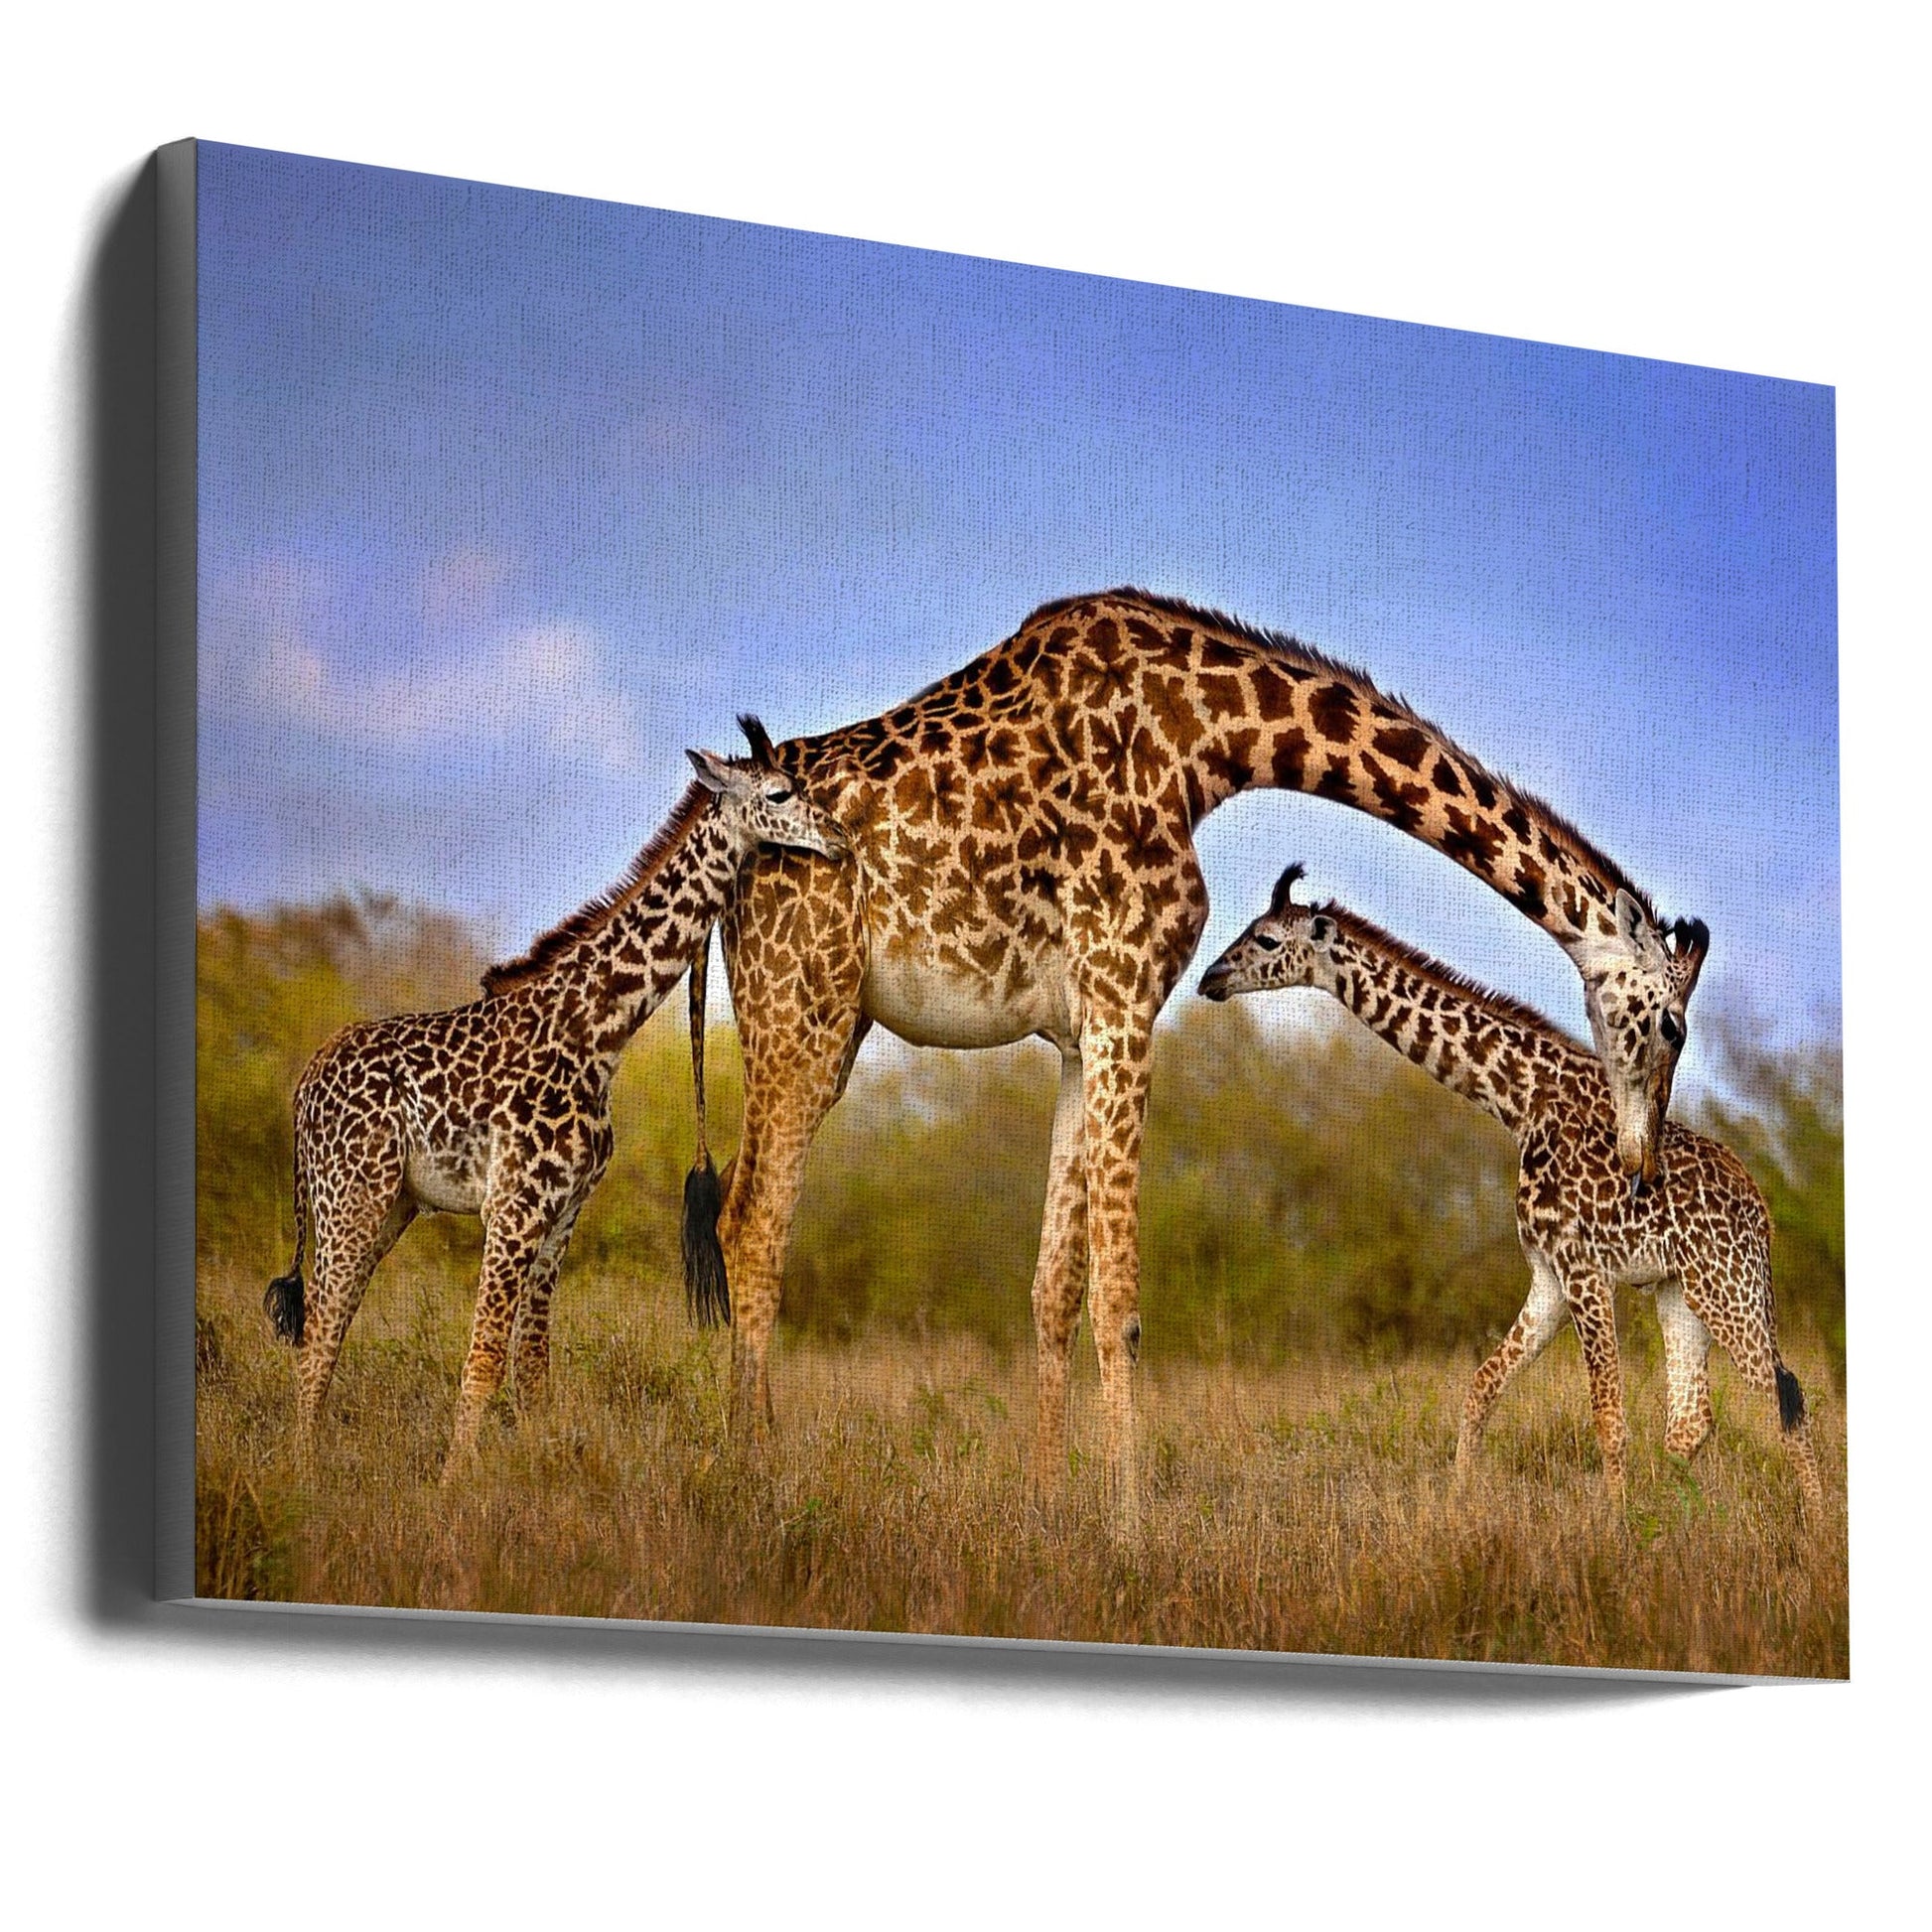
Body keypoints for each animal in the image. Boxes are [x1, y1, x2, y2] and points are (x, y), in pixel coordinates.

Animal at [264, 723, 846, 1471]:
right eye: (778, 793)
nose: (839, 838)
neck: (597, 1030)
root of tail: (304, 1088)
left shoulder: (563, 1212)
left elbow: (534, 1369)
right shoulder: (513, 1207)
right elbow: (484, 1359)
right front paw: (455, 1486)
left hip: (389, 1206)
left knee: (325, 1330)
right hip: (352, 1198)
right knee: (319, 1337)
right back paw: (302, 1476)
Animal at [685, 589, 1708, 1528]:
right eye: (1670, 1027)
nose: (1640, 1161)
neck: (1207, 736)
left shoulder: (1079, 1029)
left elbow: (1056, 1288)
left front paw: (1049, 1506)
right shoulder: (1127, 991)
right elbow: (1122, 1301)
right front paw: (1128, 1525)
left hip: (828, 1021)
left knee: (749, 1210)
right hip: (802, 1005)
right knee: (755, 1220)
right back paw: (751, 1484)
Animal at [1198, 864, 1820, 1508]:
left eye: (1267, 939)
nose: (1209, 977)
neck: (1520, 1102)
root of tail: (1761, 1213)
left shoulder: (1583, 1267)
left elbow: (1607, 1413)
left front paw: (1614, 1521)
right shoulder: (1548, 1275)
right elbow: (1482, 1386)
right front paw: (1457, 1501)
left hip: (1728, 1287)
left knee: (1786, 1398)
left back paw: (1815, 1520)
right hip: (1681, 1291)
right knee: (1693, 1418)